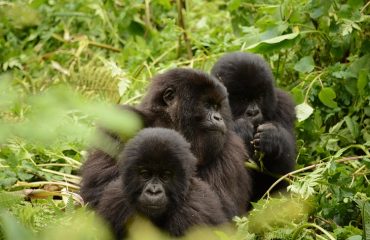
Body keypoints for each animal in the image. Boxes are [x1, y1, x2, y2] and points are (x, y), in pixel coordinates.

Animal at [81, 68, 253, 218]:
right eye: (207, 105)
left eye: (217, 107)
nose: (219, 118)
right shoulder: (120, 123)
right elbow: (97, 190)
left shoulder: (230, 148)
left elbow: (223, 210)